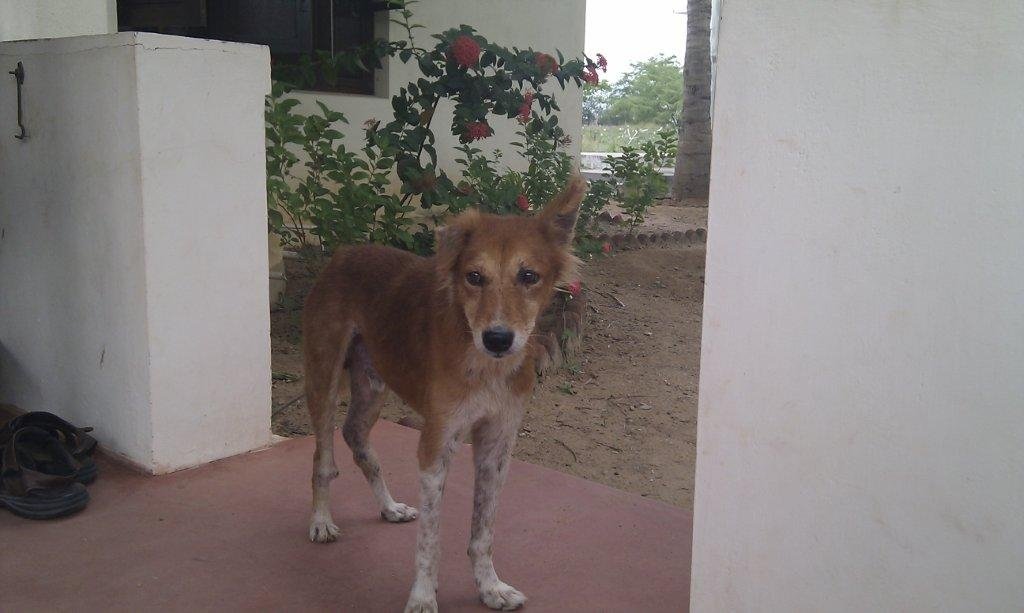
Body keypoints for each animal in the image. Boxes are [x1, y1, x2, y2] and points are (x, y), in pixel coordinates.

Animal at [302, 175, 587, 612]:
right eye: (474, 277)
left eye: (528, 276)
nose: (498, 338)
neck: (486, 368)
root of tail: (346, 251)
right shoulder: (437, 443)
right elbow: (430, 540)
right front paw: (423, 596)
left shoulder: (497, 444)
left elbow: (483, 533)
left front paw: (489, 587)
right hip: (324, 377)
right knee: (323, 455)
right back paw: (321, 521)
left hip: (372, 382)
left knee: (355, 436)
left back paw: (388, 507)